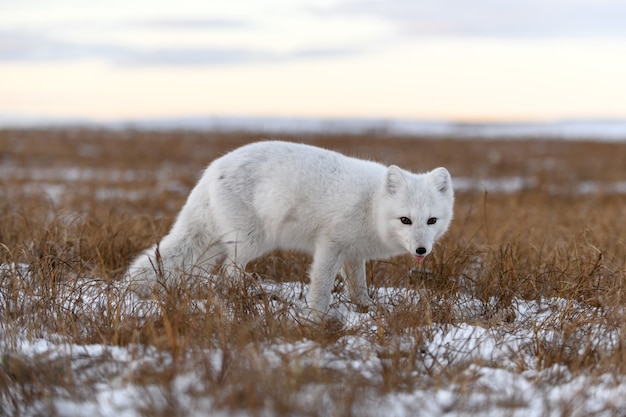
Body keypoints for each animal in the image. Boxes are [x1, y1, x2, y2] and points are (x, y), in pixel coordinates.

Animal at [124, 141, 450, 316]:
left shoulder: (354, 253)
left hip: (216, 244)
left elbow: (359, 287)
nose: (422, 250)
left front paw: (367, 310)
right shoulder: (330, 244)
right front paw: (318, 318)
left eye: (431, 221)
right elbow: (321, 286)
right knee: (228, 274)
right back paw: (242, 300)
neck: (371, 205)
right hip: (250, 241)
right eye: (405, 220)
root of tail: (212, 168)